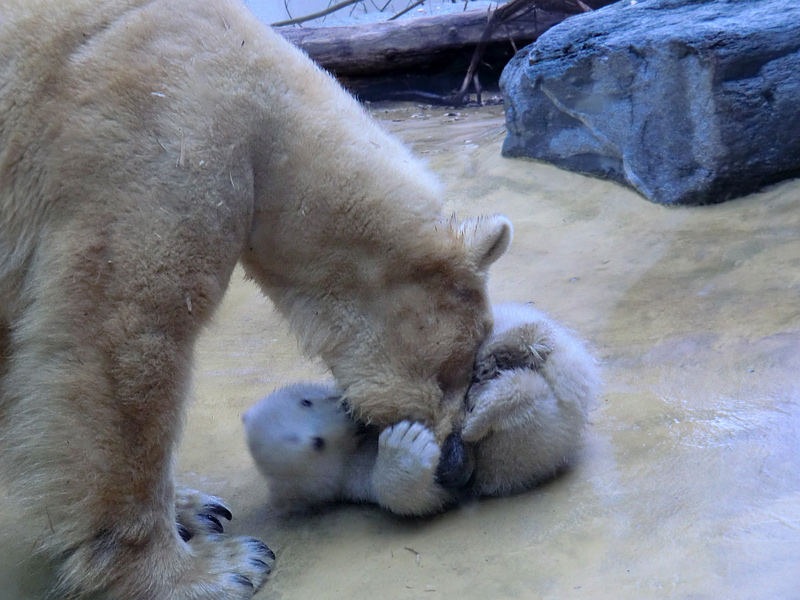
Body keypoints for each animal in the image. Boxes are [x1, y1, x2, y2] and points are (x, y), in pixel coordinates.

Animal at [0, 1, 510, 600]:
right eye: (455, 371)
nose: (455, 464)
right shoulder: (159, 138)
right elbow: (116, 340)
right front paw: (211, 568)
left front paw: (196, 509)